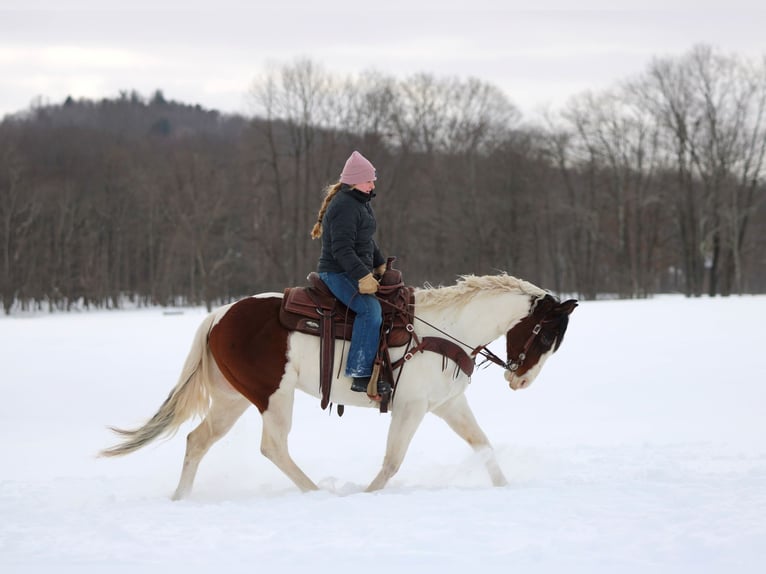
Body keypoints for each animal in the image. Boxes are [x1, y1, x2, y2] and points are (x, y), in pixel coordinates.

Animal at [100, 274, 576, 499]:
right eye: (545, 336)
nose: (520, 379)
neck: (443, 330)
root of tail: (218, 316)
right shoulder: (411, 407)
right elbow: (392, 461)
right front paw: (366, 493)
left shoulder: (448, 405)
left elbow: (483, 446)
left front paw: (505, 487)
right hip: (274, 397)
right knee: (273, 448)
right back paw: (315, 492)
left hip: (232, 400)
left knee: (197, 441)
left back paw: (180, 498)